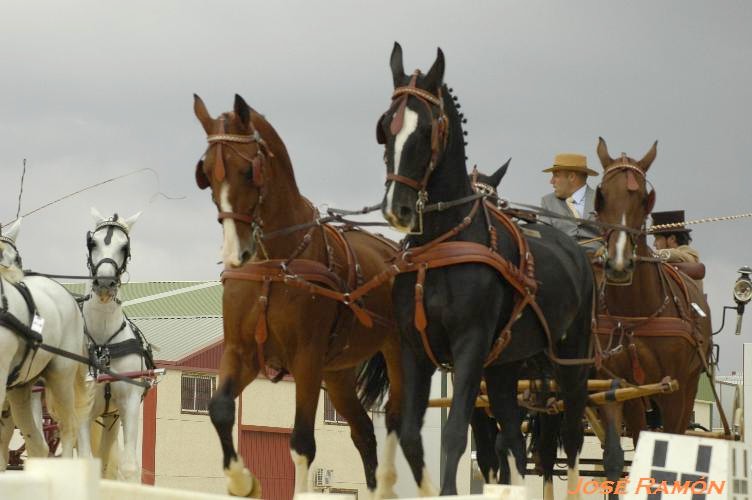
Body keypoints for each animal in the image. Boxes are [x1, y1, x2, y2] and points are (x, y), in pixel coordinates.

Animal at [82, 208, 154, 480]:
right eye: (93, 242)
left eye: (125, 246)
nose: (104, 283)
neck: (103, 344)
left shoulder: (129, 403)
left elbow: (128, 466)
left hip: (110, 416)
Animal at [194, 94, 406, 500]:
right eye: (207, 173)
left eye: (248, 172)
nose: (234, 253)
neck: (274, 263)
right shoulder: (242, 352)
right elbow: (220, 408)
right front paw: (242, 480)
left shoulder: (306, 358)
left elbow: (302, 442)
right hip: (338, 375)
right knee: (363, 432)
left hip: (399, 355)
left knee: (399, 421)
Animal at [378, 42, 596, 496]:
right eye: (385, 128)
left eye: (427, 130)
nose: (398, 208)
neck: (441, 246)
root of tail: (575, 246)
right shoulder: (415, 349)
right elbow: (411, 436)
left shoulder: (470, 345)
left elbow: (454, 434)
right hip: (504, 366)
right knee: (512, 437)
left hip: (573, 358)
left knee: (569, 438)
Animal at [592, 138, 712, 488]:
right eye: (601, 194)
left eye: (644, 198)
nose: (618, 264)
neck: (635, 315)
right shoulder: (616, 386)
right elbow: (616, 459)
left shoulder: (673, 389)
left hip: (689, 384)